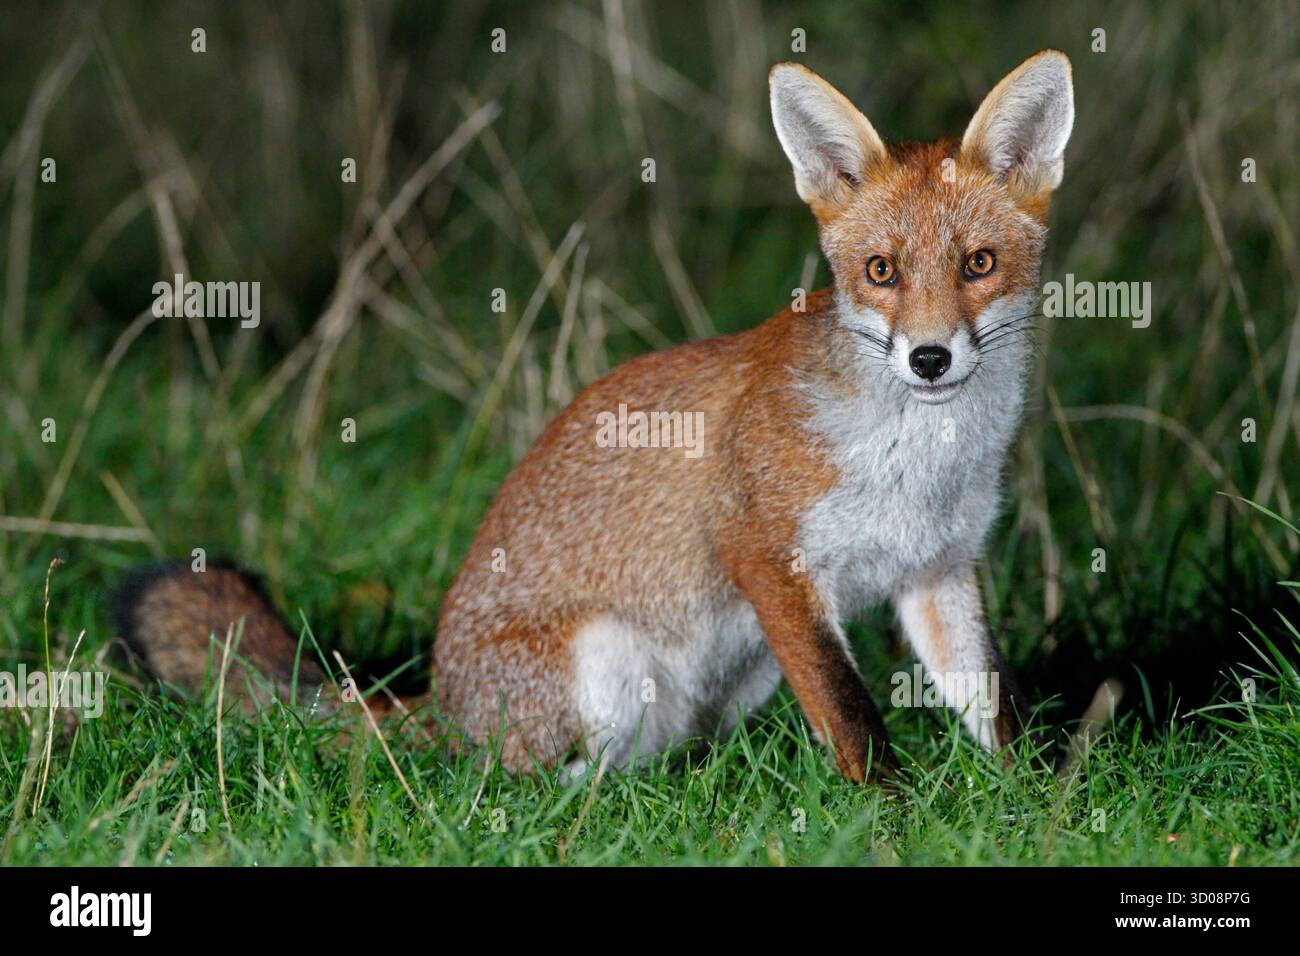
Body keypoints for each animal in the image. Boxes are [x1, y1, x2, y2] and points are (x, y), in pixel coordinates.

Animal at [113, 51, 1075, 782]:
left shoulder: (938, 571)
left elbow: (994, 707)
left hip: (734, 676)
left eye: (979, 263)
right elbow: (854, 722)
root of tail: (440, 696)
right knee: (514, 784)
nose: (929, 358)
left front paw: (1033, 803)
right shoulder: (769, 561)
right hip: (607, 663)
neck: (921, 461)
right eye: (881, 272)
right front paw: (893, 816)